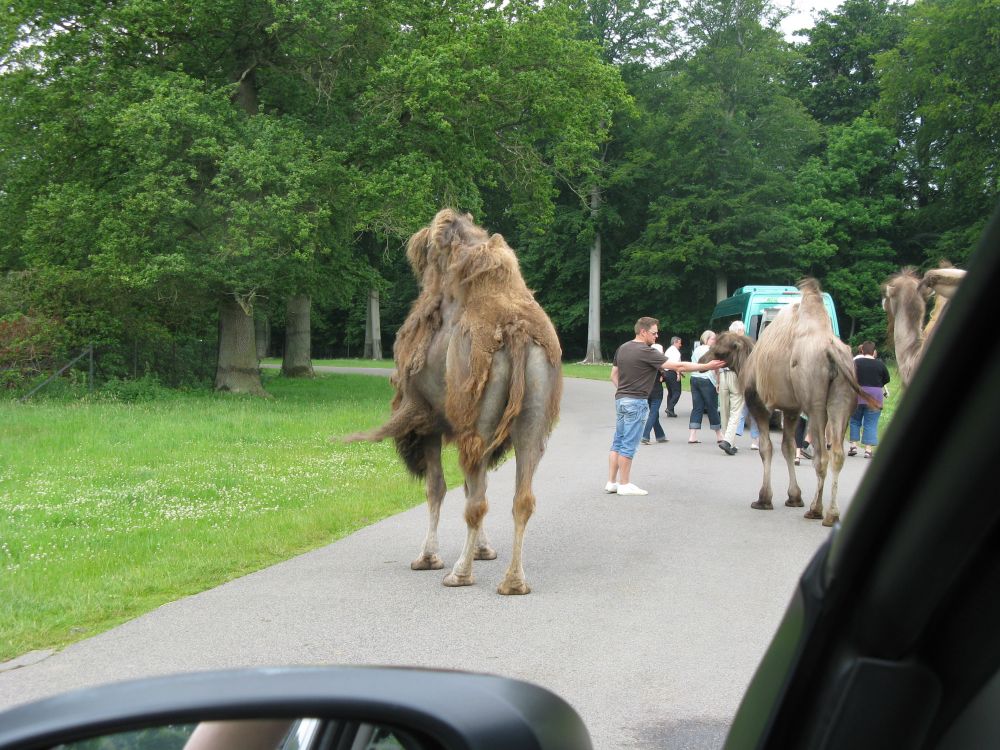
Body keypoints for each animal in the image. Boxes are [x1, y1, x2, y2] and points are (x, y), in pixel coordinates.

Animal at [348, 209, 562, 595]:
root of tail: (516, 332)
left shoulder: (428, 423)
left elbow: (436, 487)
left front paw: (427, 557)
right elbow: (464, 486)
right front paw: (484, 551)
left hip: (477, 424)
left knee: (476, 500)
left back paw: (459, 574)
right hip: (532, 420)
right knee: (520, 497)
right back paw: (513, 581)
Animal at [738, 278, 876, 526]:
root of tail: (832, 351)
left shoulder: (758, 402)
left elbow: (767, 447)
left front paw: (764, 499)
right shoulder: (792, 408)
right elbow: (788, 446)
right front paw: (794, 497)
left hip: (815, 404)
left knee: (822, 456)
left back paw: (816, 510)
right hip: (842, 400)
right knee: (837, 453)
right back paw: (832, 514)